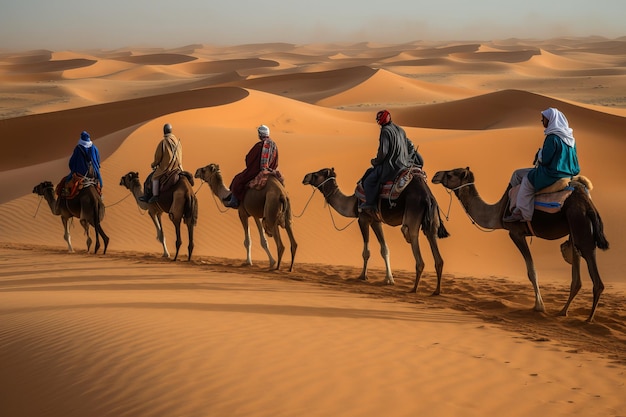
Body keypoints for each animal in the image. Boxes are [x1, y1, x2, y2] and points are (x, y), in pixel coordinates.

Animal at [302, 167, 448, 292]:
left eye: (317, 174)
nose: (305, 177)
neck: (352, 203)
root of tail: (428, 198)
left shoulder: (363, 218)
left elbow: (366, 252)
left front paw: (362, 276)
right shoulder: (376, 221)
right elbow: (385, 249)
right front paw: (389, 279)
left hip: (412, 216)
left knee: (412, 239)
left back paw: (414, 289)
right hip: (432, 221)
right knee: (435, 247)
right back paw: (436, 291)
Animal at [432, 167, 608, 322]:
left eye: (450, 174)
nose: (436, 175)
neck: (498, 212)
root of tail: (588, 203)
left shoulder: (516, 233)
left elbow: (532, 271)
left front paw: (539, 306)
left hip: (579, 223)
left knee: (593, 269)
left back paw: (588, 318)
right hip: (575, 229)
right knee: (578, 274)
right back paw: (563, 311)